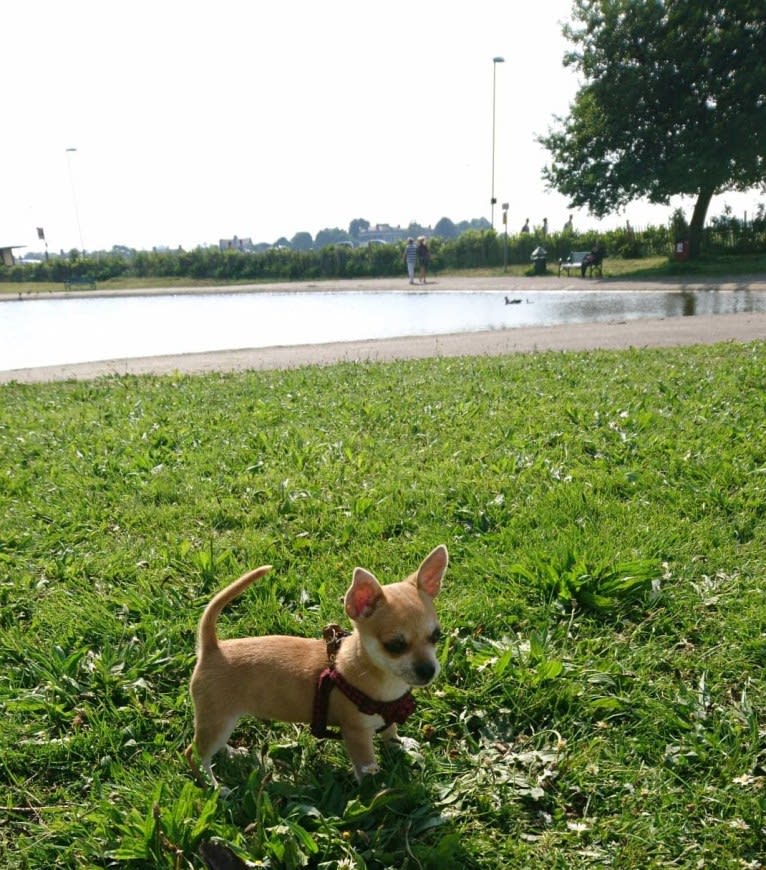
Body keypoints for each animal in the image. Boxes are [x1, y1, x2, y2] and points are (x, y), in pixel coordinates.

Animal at [186, 544, 448, 784]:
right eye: (394, 646)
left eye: (437, 636)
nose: (428, 670)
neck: (385, 680)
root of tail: (212, 648)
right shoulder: (356, 733)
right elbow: (366, 766)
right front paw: (374, 787)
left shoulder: (389, 714)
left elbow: (390, 731)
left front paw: (400, 746)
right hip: (217, 720)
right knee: (195, 753)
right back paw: (215, 787)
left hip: (223, 720)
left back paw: (231, 753)